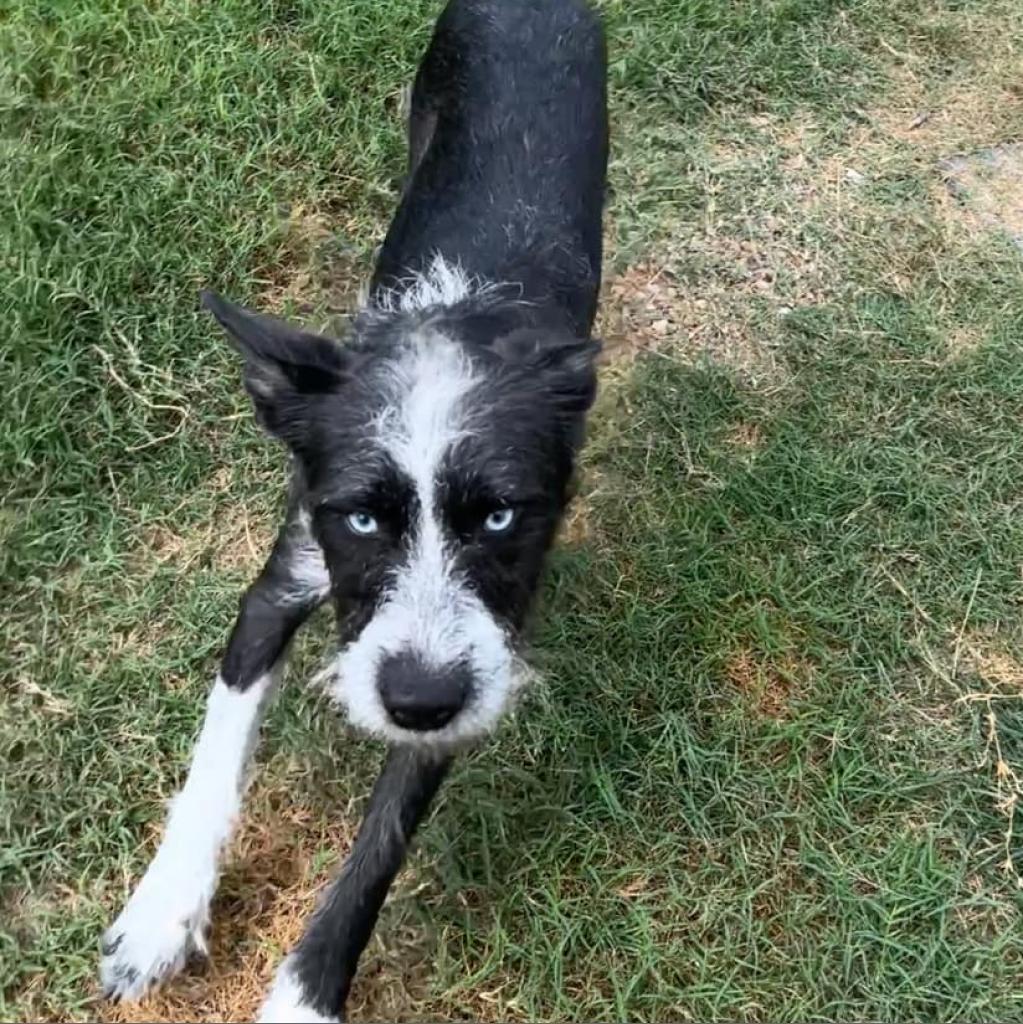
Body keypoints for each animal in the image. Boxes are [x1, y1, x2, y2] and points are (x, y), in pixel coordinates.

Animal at [97, 4, 606, 1019]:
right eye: (361, 520)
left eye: (501, 519)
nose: (413, 699)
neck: (454, 318)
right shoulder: (285, 570)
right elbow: (216, 749)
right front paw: (163, 911)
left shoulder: (479, 658)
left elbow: (378, 848)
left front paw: (302, 995)